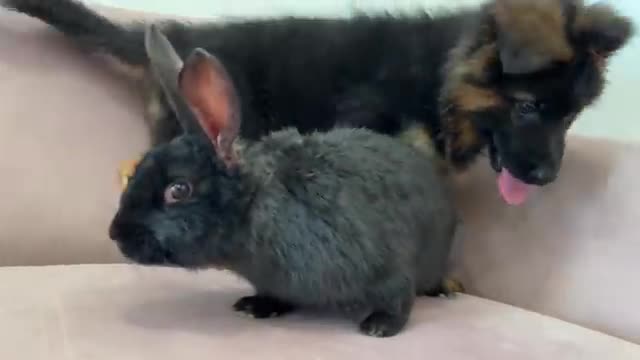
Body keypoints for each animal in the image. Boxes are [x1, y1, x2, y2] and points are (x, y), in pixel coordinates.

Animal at [107, 25, 458, 338]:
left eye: (178, 190)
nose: (115, 233)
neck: (256, 207)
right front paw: (256, 306)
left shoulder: (387, 264)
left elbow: (397, 296)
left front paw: (379, 326)